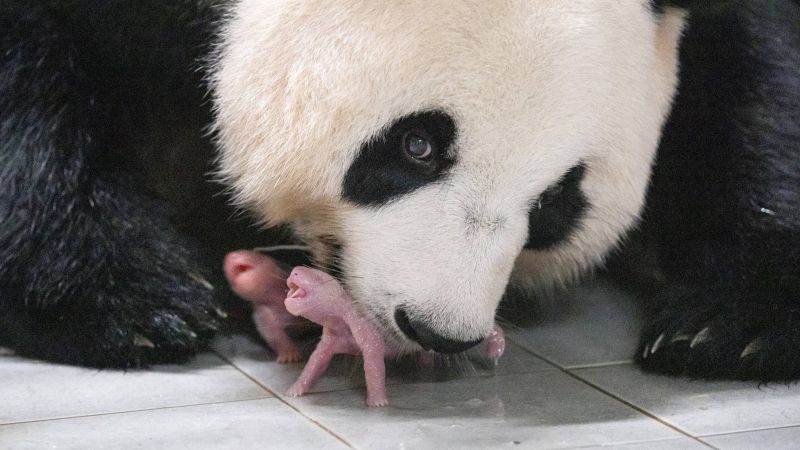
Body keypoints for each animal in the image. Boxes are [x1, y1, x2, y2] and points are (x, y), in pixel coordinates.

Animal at [1, 0, 800, 380]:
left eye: (555, 203)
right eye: (417, 145)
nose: (438, 329)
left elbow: (756, 78)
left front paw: (731, 325)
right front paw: (130, 300)